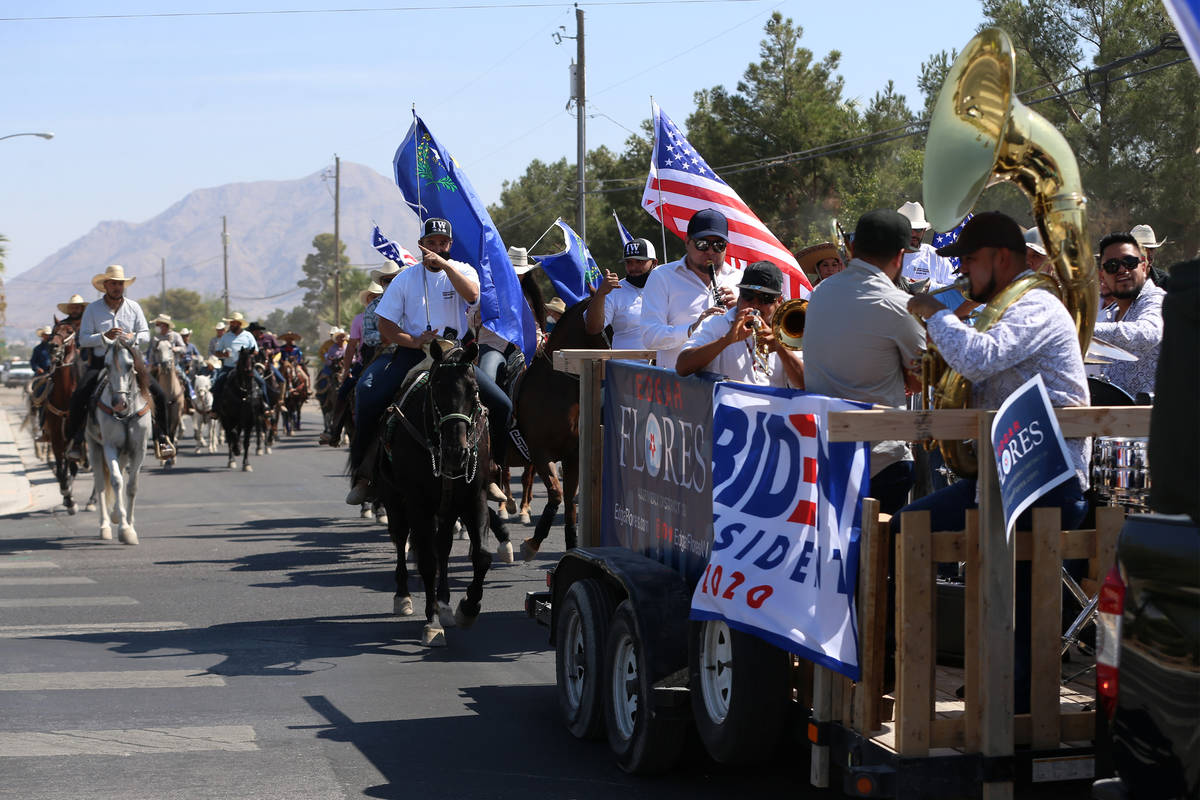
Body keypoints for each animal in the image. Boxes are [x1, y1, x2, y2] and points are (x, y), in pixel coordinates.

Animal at [379, 340, 496, 647]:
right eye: (437, 388)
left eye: (474, 390)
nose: (457, 453)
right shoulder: (417, 502)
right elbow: (427, 562)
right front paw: (431, 624)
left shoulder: (474, 498)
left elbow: (481, 555)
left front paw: (468, 608)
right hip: (395, 499)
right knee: (402, 539)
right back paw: (403, 596)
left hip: (446, 508)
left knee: (442, 546)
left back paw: (444, 603)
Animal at [506, 297, 609, 561]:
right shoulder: (540, 453)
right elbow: (556, 493)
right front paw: (531, 544)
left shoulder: (573, 456)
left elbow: (570, 502)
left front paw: (572, 546)